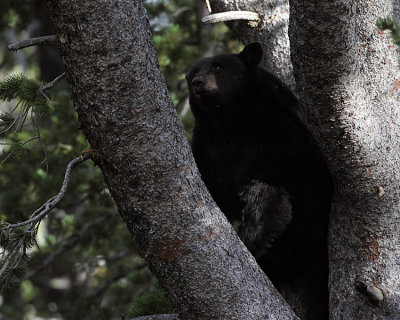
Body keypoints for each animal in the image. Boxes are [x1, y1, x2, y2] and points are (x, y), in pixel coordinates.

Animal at [186, 43, 332, 320]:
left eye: (219, 66)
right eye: (193, 73)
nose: (197, 82)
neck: (231, 123)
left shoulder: (280, 138)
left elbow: (266, 189)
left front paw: (252, 236)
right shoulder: (208, 149)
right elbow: (214, 187)